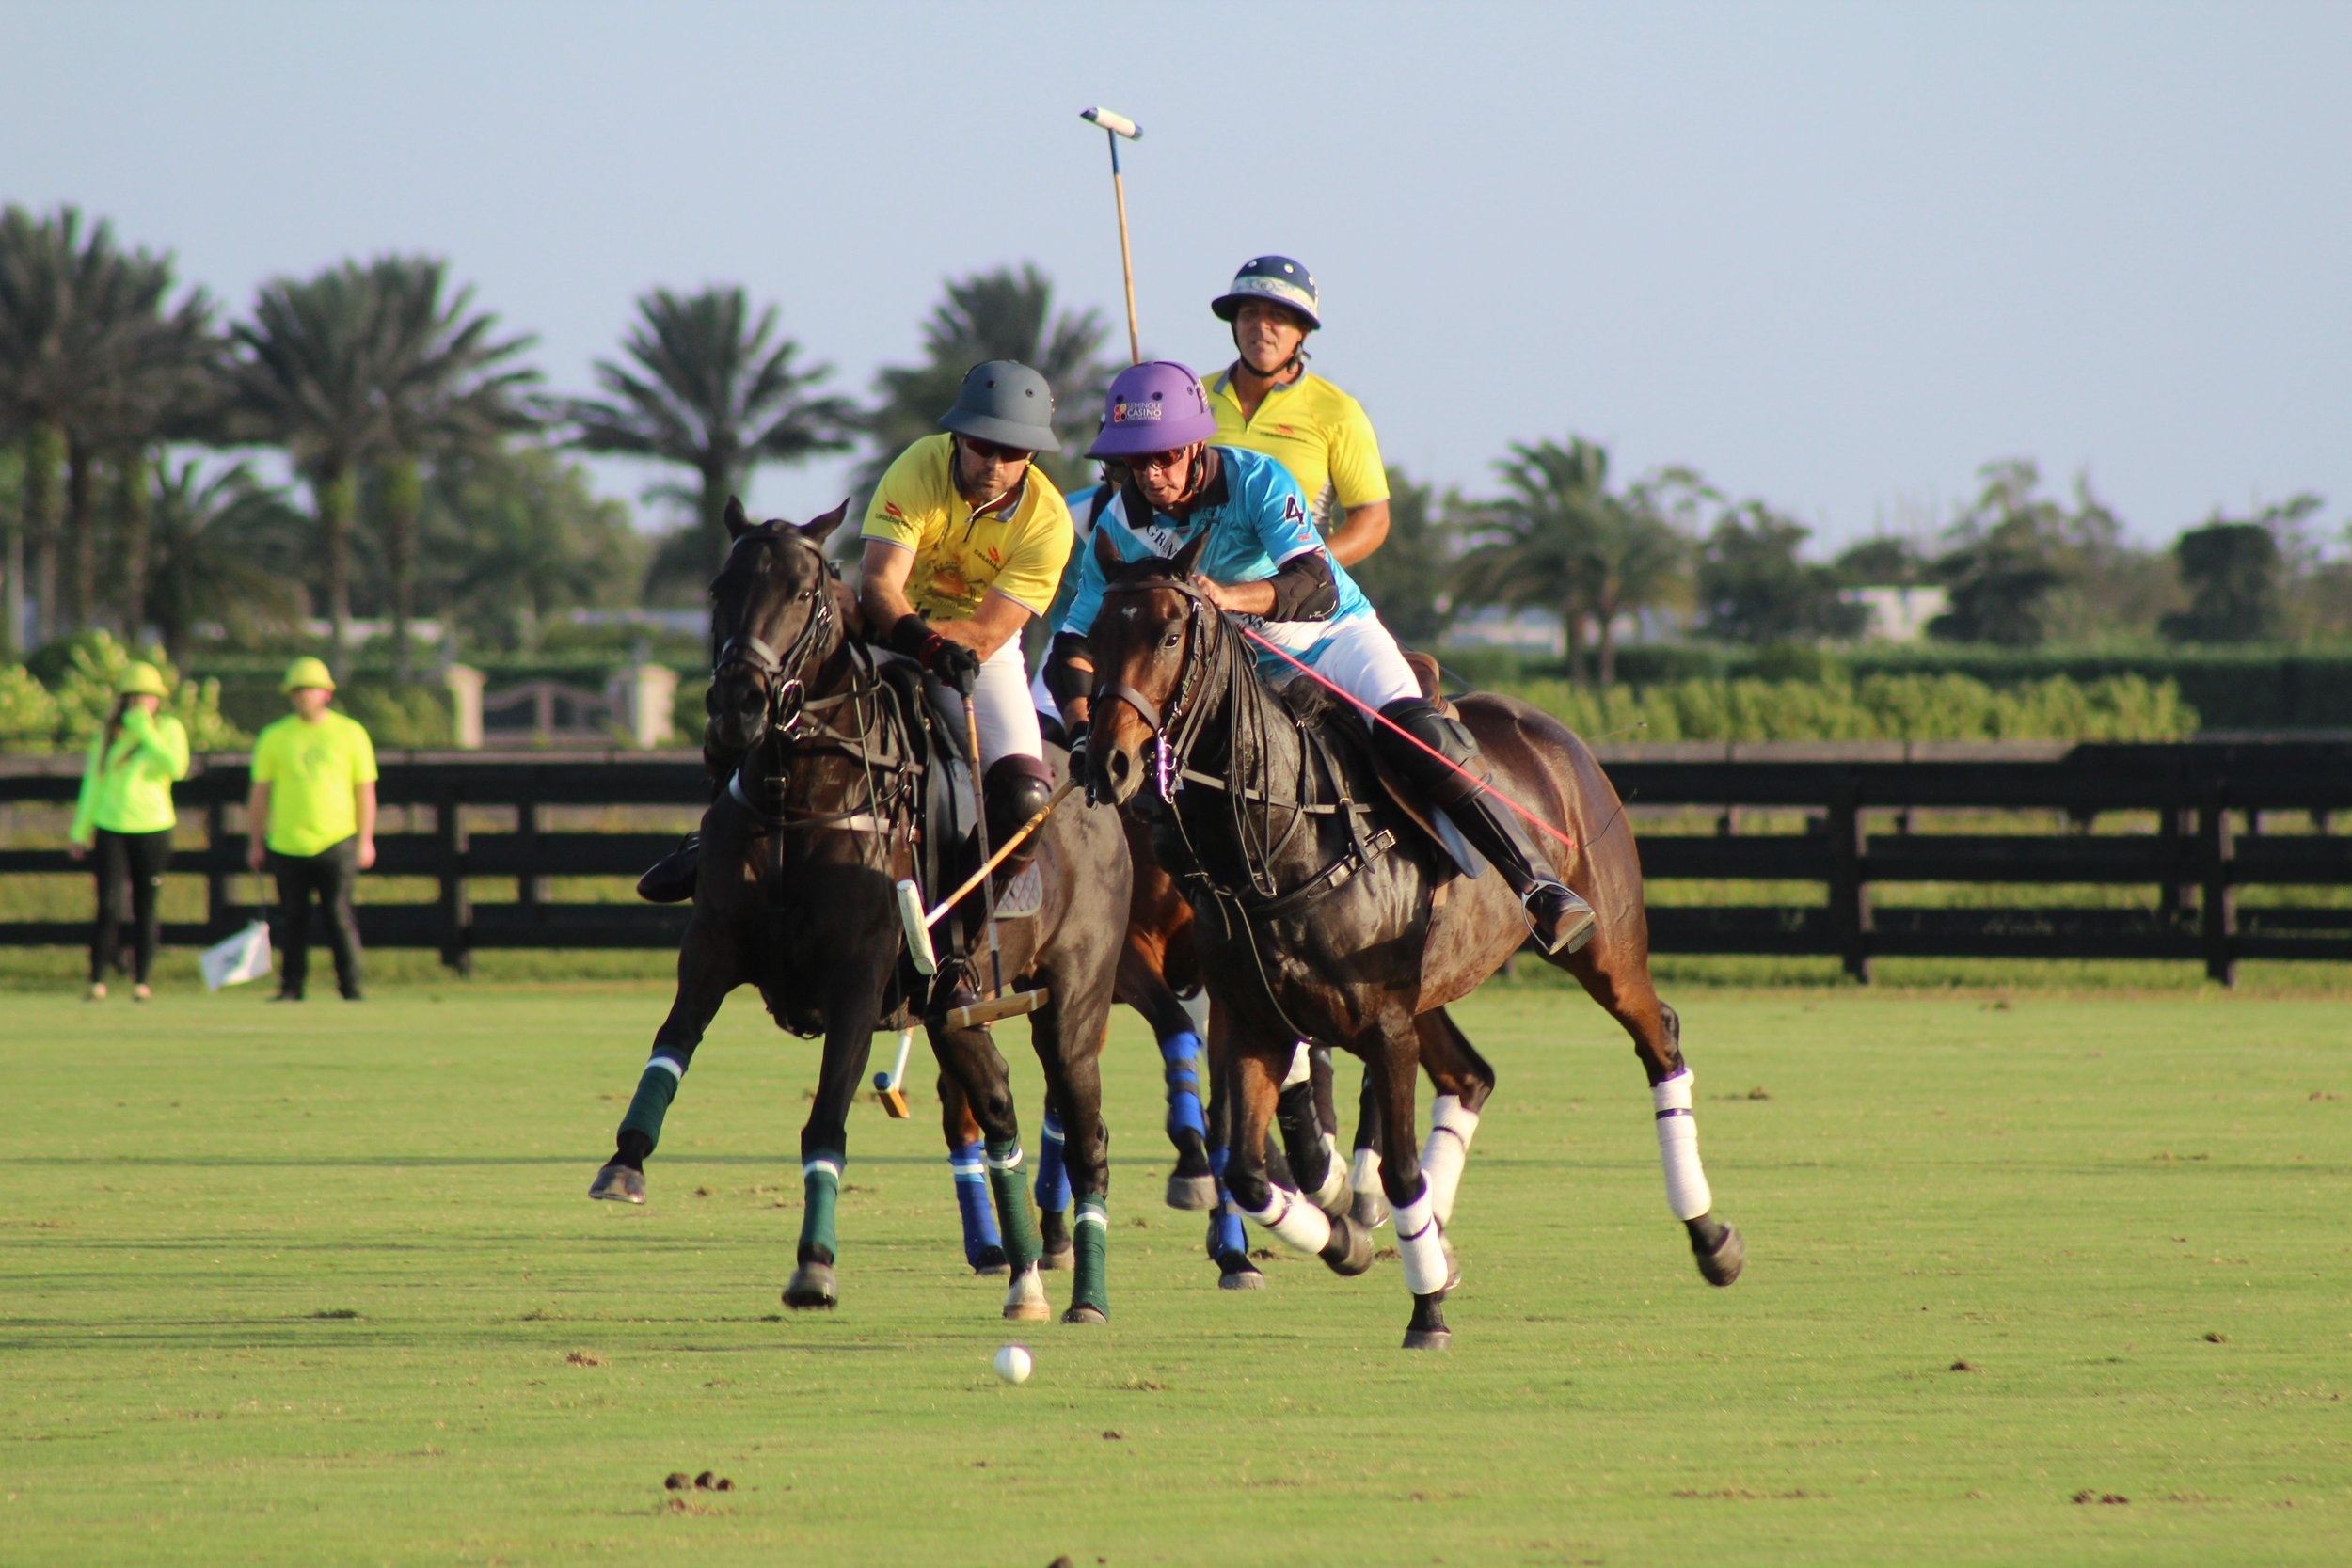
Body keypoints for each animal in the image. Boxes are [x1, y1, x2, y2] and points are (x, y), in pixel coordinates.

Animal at [593, 500, 1134, 1325]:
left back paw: (1089, 1298)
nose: (736, 708)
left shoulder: (857, 979)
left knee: (1088, 1135)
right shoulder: (712, 948)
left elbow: (826, 1119)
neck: (801, 796)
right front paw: (626, 1160)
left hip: (1073, 1005)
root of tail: (1094, 788)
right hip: (952, 1016)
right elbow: (671, 1042)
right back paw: (1023, 1281)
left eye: (804, 594)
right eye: (720, 587)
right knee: (1000, 1111)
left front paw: (815, 1265)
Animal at [1082, 540, 1750, 1354]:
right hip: (1432, 989)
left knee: (1659, 1039)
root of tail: (1559, 734)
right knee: (1471, 1075)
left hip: (1605, 947)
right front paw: (1349, 1242)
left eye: (1171, 634)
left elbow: (1398, 1172)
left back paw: (1710, 1236)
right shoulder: (1252, 1020)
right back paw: (1438, 1241)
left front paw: (1425, 1310)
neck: (1280, 834)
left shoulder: (1383, 1024)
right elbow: (1246, 1171)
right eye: (1095, 635)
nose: (1107, 763)